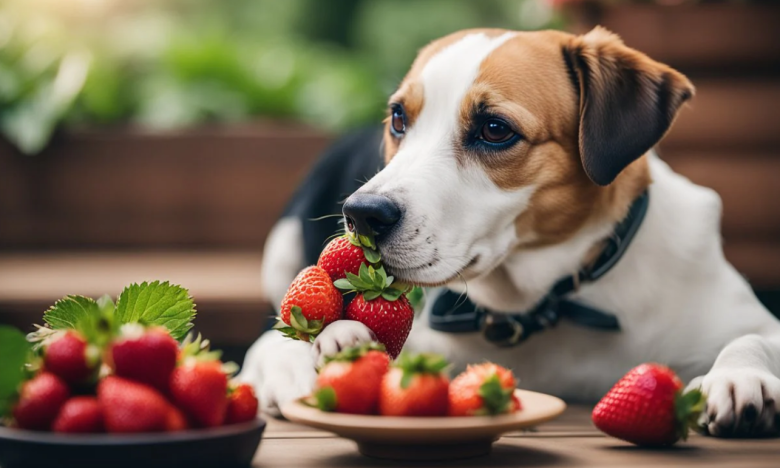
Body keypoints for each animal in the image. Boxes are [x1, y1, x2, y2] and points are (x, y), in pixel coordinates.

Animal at [239, 27, 780, 436]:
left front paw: (739, 376)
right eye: (398, 118)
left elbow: (752, 339)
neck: (543, 304)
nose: (361, 214)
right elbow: (279, 343)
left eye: (495, 129)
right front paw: (334, 345)